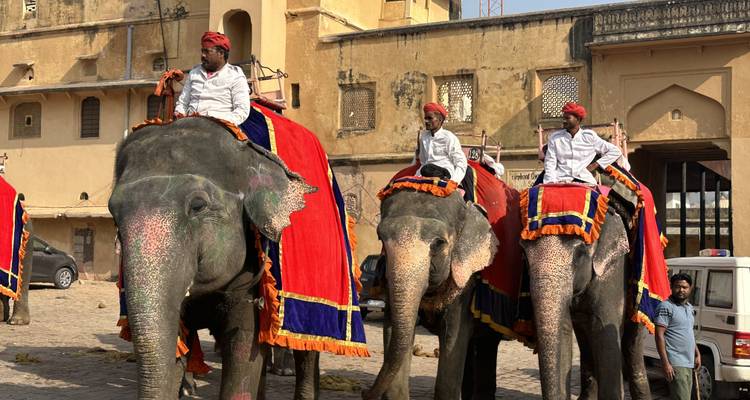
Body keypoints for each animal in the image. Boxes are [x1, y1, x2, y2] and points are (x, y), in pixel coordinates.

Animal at [362, 189, 498, 400]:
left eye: (439, 243)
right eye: (380, 238)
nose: (363, 391)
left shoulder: (466, 284)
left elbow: (453, 337)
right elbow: (394, 330)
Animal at [521, 206, 651, 400]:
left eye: (580, 253)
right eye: (523, 253)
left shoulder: (613, 272)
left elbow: (604, 329)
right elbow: (564, 331)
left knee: (632, 346)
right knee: (586, 342)